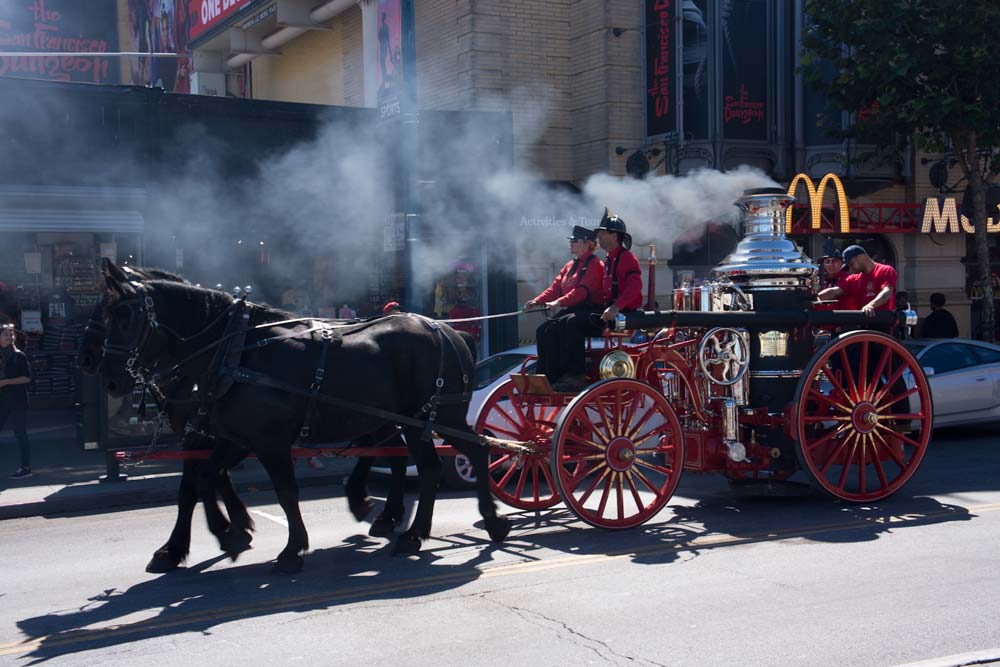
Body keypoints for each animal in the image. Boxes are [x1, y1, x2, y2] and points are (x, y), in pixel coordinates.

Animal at [99, 264, 508, 572]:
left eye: (124, 317)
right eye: (103, 316)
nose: (107, 377)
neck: (234, 351)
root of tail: (451, 331)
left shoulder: (268, 440)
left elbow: (284, 491)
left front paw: (291, 549)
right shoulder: (233, 437)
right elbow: (203, 479)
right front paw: (224, 534)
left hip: (434, 417)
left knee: (462, 457)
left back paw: (465, 524)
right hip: (417, 421)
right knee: (442, 462)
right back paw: (432, 528)